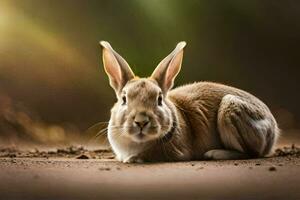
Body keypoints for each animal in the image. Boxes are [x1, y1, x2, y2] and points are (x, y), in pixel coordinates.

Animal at [98, 40, 278, 162]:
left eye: (159, 99)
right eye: (124, 99)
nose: (141, 121)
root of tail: (273, 130)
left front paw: (133, 159)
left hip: (231, 109)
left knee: (252, 153)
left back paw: (213, 154)